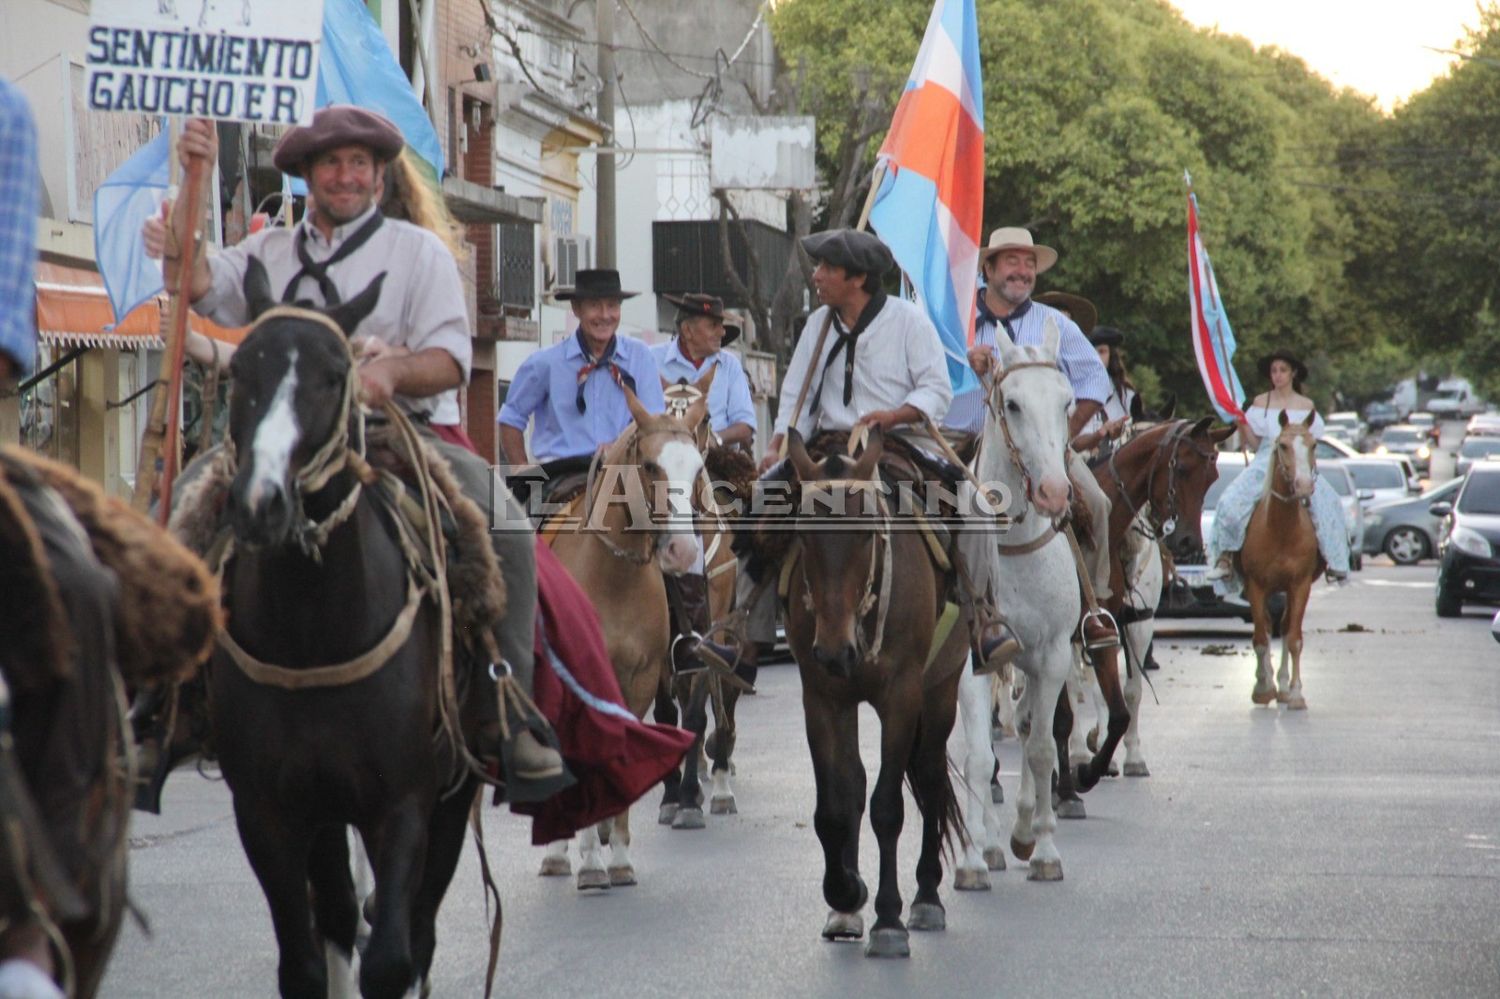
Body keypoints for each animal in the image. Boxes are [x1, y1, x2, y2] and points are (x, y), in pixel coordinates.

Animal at [202, 261, 486, 990]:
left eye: (336, 374)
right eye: (240, 368)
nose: (260, 502)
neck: (314, 634)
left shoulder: (406, 803)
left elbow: (391, 957)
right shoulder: (268, 813)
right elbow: (304, 962)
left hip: (451, 799)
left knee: (417, 927)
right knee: (335, 912)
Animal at [540, 378, 708, 882]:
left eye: (698, 467)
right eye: (650, 465)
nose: (681, 551)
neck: (612, 576)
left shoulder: (640, 680)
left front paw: (616, 853)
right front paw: (591, 859)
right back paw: (559, 849)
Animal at [780, 429, 966, 960]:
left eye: (865, 533)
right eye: (804, 534)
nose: (834, 649)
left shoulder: (902, 696)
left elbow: (888, 807)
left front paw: (888, 918)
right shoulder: (822, 698)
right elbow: (834, 807)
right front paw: (845, 893)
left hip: (941, 688)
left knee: (929, 777)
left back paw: (926, 896)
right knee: (858, 784)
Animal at [1236, 408, 1320, 708]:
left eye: (1314, 445)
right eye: (1282, 445)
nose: (1304, 486)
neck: (1281, 530)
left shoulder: (1300, 585)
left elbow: (1294, 638)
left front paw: (1295, 693)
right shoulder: (1255, 585)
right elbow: (1260, 638)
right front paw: (1262, 688)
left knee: (1283, 628)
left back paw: (1283, 687)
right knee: (1268, 626)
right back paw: (1269, 683)